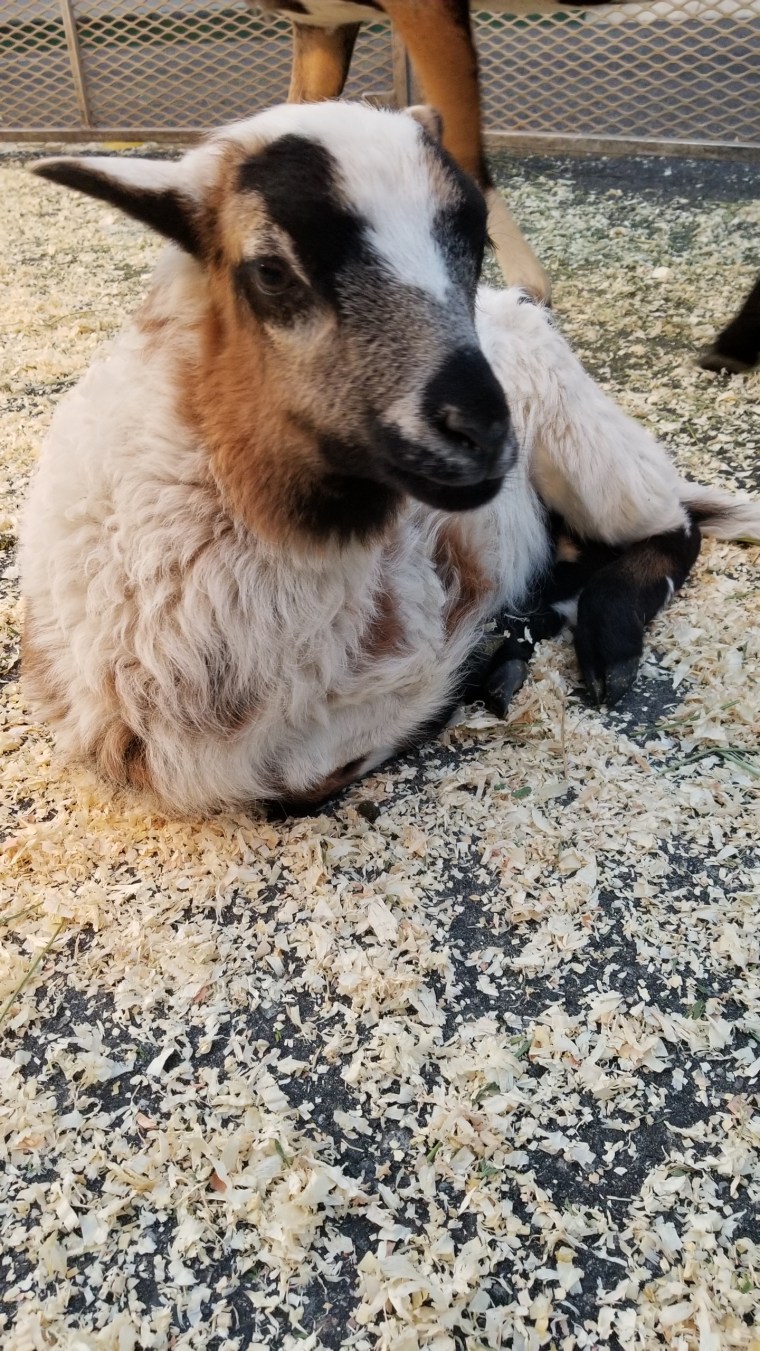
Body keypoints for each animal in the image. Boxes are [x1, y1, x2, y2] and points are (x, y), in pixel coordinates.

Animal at [21, 100, 760, 817]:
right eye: (271, 271)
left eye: (476, 246)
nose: (484, 432)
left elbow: (304, 778)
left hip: (586, 443)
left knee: (672, 526)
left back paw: (606, 648)